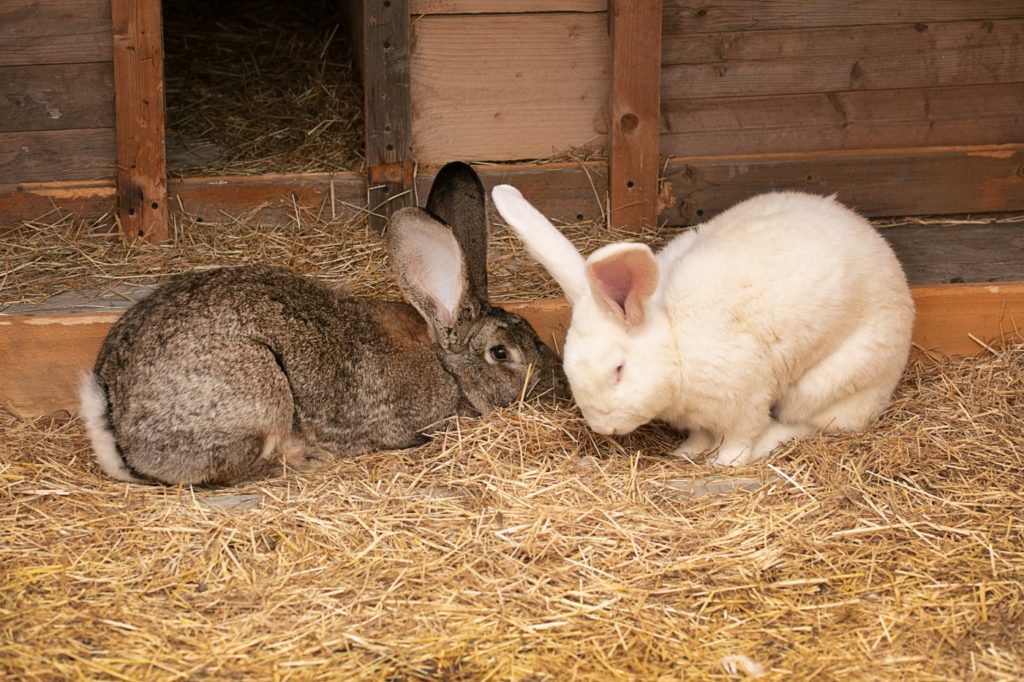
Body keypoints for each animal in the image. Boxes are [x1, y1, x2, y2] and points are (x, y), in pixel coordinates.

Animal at [79, 161, 565, 485]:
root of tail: (116, 424)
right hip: (259, 394)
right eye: (501, 352)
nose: (554, 384)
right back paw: (306, 460)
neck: (447, 364)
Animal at [491, 184, 917, 462]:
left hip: (828, 384)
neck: (675, 340)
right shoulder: (702, 415)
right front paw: (687, 453)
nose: (604, 428)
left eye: (619, 370)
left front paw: (722, 462)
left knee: (818, 424)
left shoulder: (746, 399)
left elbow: (739, 437)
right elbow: (701, 433)